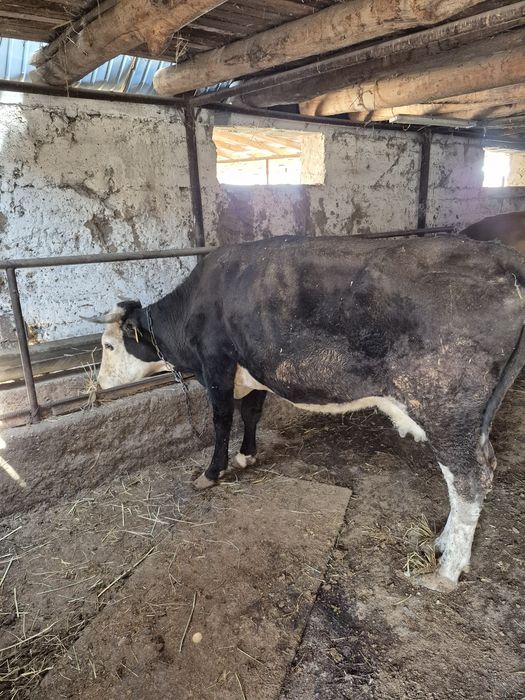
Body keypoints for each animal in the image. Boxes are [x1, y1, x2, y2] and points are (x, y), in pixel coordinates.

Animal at [86, 235, 525, 593]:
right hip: (476, 415)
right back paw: (443, 544)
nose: (99, 385)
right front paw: (246, 456)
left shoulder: (217, 365)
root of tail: (502, 256)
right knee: (481, 469)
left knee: (468, 478)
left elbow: (222, 420)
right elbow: (252, 413)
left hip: (445, 406)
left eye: (109, 346)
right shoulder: (253, 368)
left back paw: (447, 571)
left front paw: (212, 472)